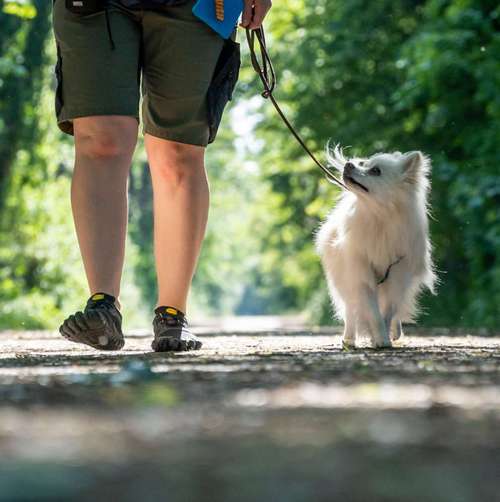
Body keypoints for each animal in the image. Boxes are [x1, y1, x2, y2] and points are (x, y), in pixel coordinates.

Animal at [316, 146, 438, 350]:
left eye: (376, 171)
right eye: (362, 163)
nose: (349, 164)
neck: (379, 218)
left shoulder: (398, 275)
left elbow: (388, 312)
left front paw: (384, 337)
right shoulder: (362, 275)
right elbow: (373, 312)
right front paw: (380, 337)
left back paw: (396, 332)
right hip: (345, 280)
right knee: (350, 310)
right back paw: (349, 339)